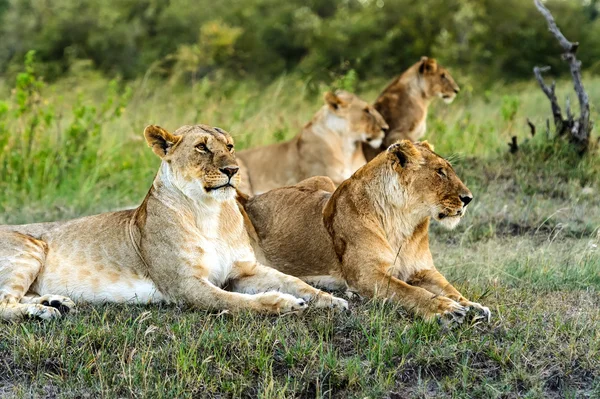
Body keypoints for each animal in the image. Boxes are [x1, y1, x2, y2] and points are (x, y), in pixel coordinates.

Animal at [0, 123, 346, 320]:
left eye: (230, 146)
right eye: (202, 147)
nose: (233, 169)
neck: (210, 213)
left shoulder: (243, 270)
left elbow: (294, 280)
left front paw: (330, 300)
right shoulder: (185, 286)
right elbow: (240, 303)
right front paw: (285, 304)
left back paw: (56, 301)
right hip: (29, 250)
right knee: (4, 303)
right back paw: (42, 311)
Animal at [238, 141, 488, 324]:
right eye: (440, 172)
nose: (468, 198)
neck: (403, 221)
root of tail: (252, 197)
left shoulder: (423, 271)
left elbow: (449, 288)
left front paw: (472, 306)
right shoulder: (368, 275)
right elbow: (408, 291)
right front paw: (445, 309)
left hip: (323, 179)